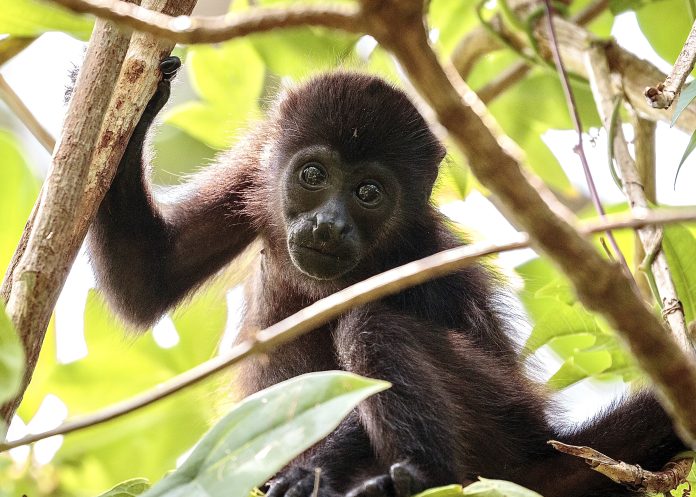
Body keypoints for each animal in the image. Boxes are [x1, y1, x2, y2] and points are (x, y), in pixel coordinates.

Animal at [87, 59, 684, 496]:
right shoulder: (252, 176)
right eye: (312, 175)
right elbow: (147, 277)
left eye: (368, 192)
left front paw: (308, 471)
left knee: (372, 327)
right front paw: (138, 102)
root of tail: (545, 445)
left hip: (503, 427)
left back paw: (413, 477)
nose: (329, 224)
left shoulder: (427, 260)